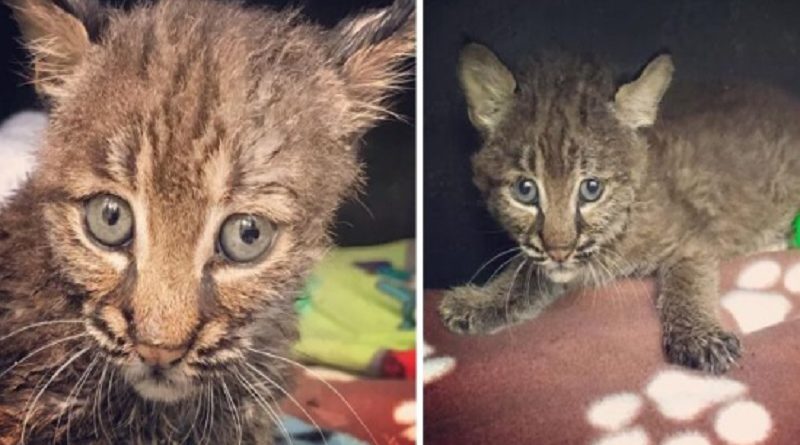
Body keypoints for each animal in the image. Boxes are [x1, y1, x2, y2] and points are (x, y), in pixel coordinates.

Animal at [440, 43, 800, 372]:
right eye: (525, 191)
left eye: (592, 189)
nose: (559, 251)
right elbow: (526, 267)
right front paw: (483, 300)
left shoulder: (692, 240)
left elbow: (685, 283)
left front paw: (698, 335)